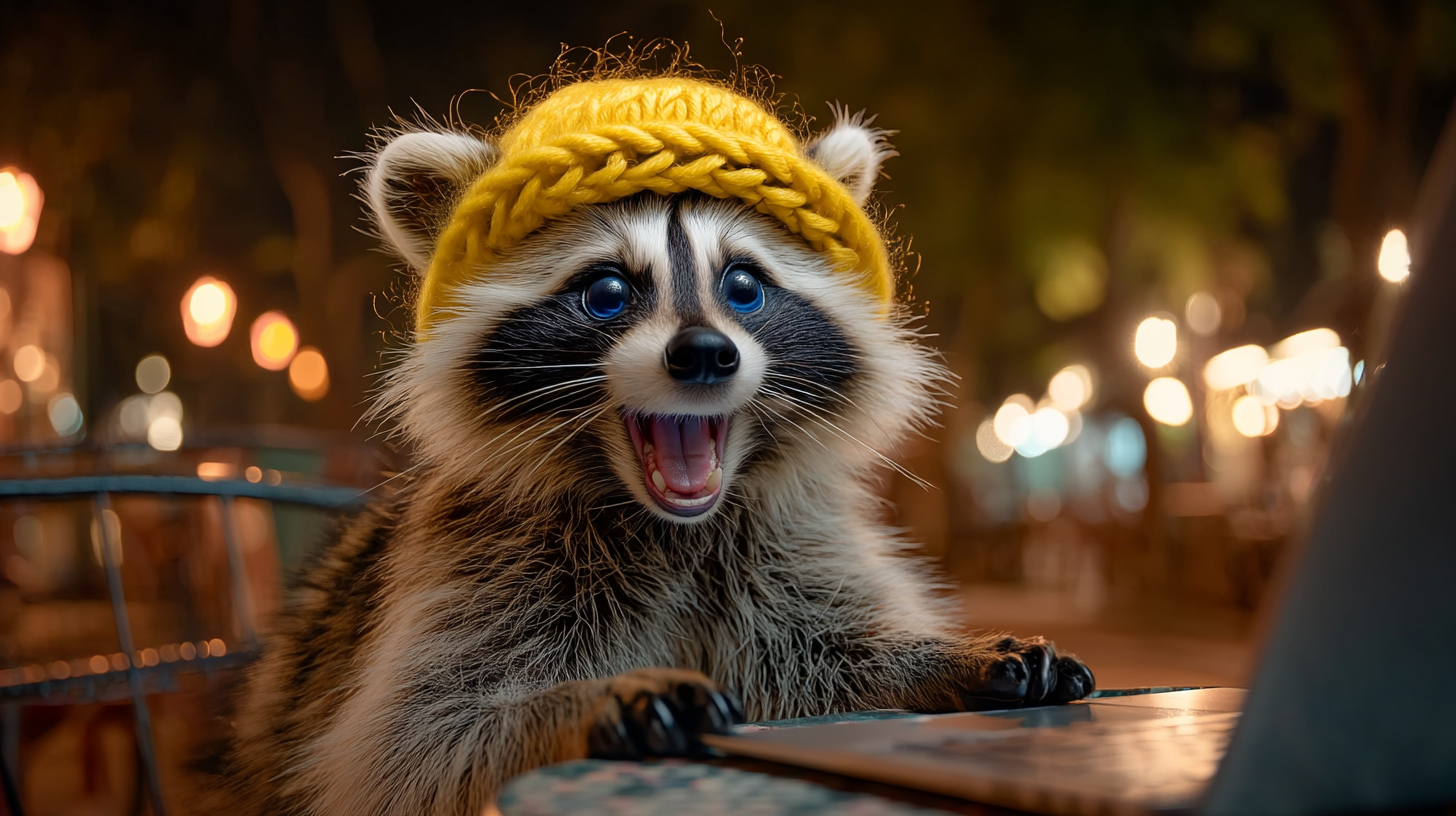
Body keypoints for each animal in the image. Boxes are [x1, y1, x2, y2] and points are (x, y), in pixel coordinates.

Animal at [214, 77, 1094, 816]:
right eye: (607, 292)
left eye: (744, 286)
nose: (705, 353)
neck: (671, 528)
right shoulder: (472, 564)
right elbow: (417, 740)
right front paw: (575, 703)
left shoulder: (786, 547)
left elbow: (817, 655)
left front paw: (932, 656)